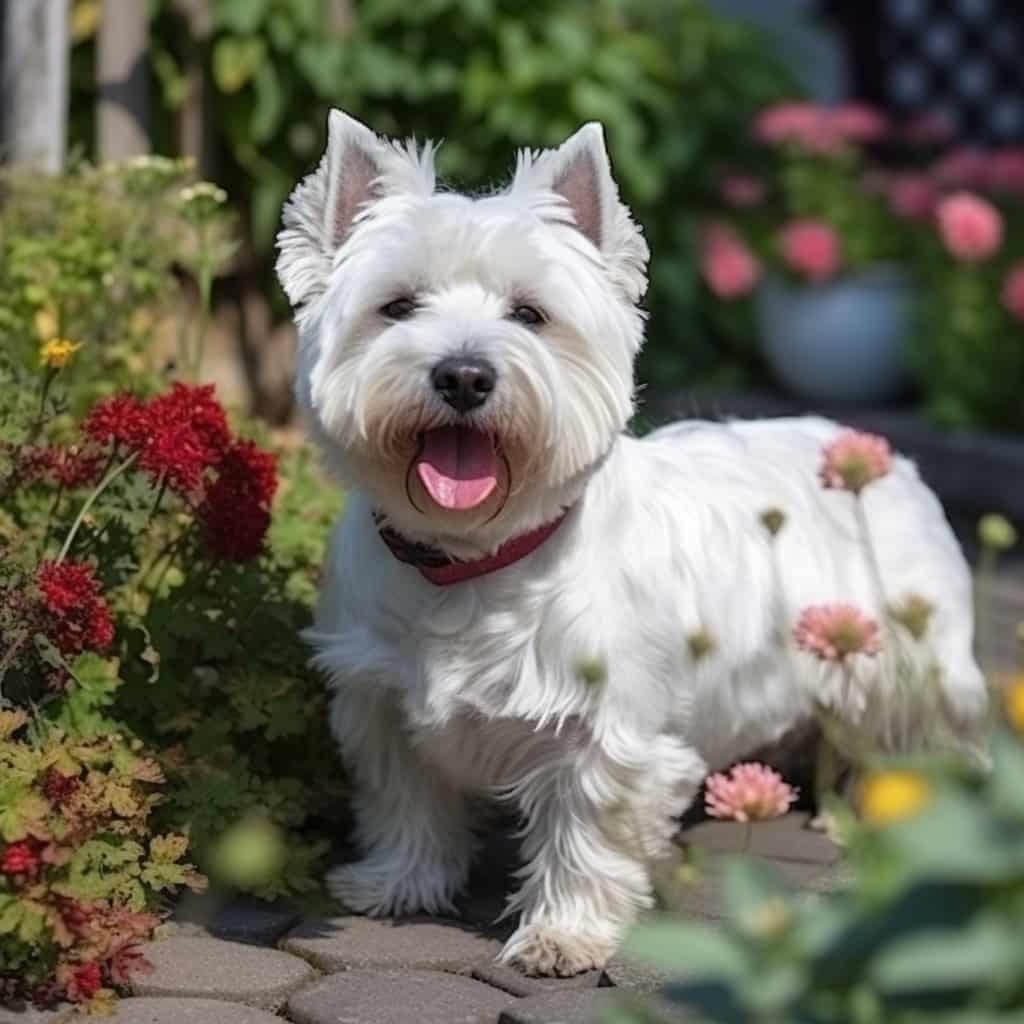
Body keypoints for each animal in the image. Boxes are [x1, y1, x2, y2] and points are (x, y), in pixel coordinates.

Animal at [276, 112, 987, 974]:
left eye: (530, 314)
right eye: (398, 306)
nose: (465, 376)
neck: (473, 562)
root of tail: (870, 451)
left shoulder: (609, 731)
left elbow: (587, 834)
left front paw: (562, 933)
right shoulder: (378, 699)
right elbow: (404, 800)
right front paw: (397, 882)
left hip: (912, 660)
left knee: (929, 736)